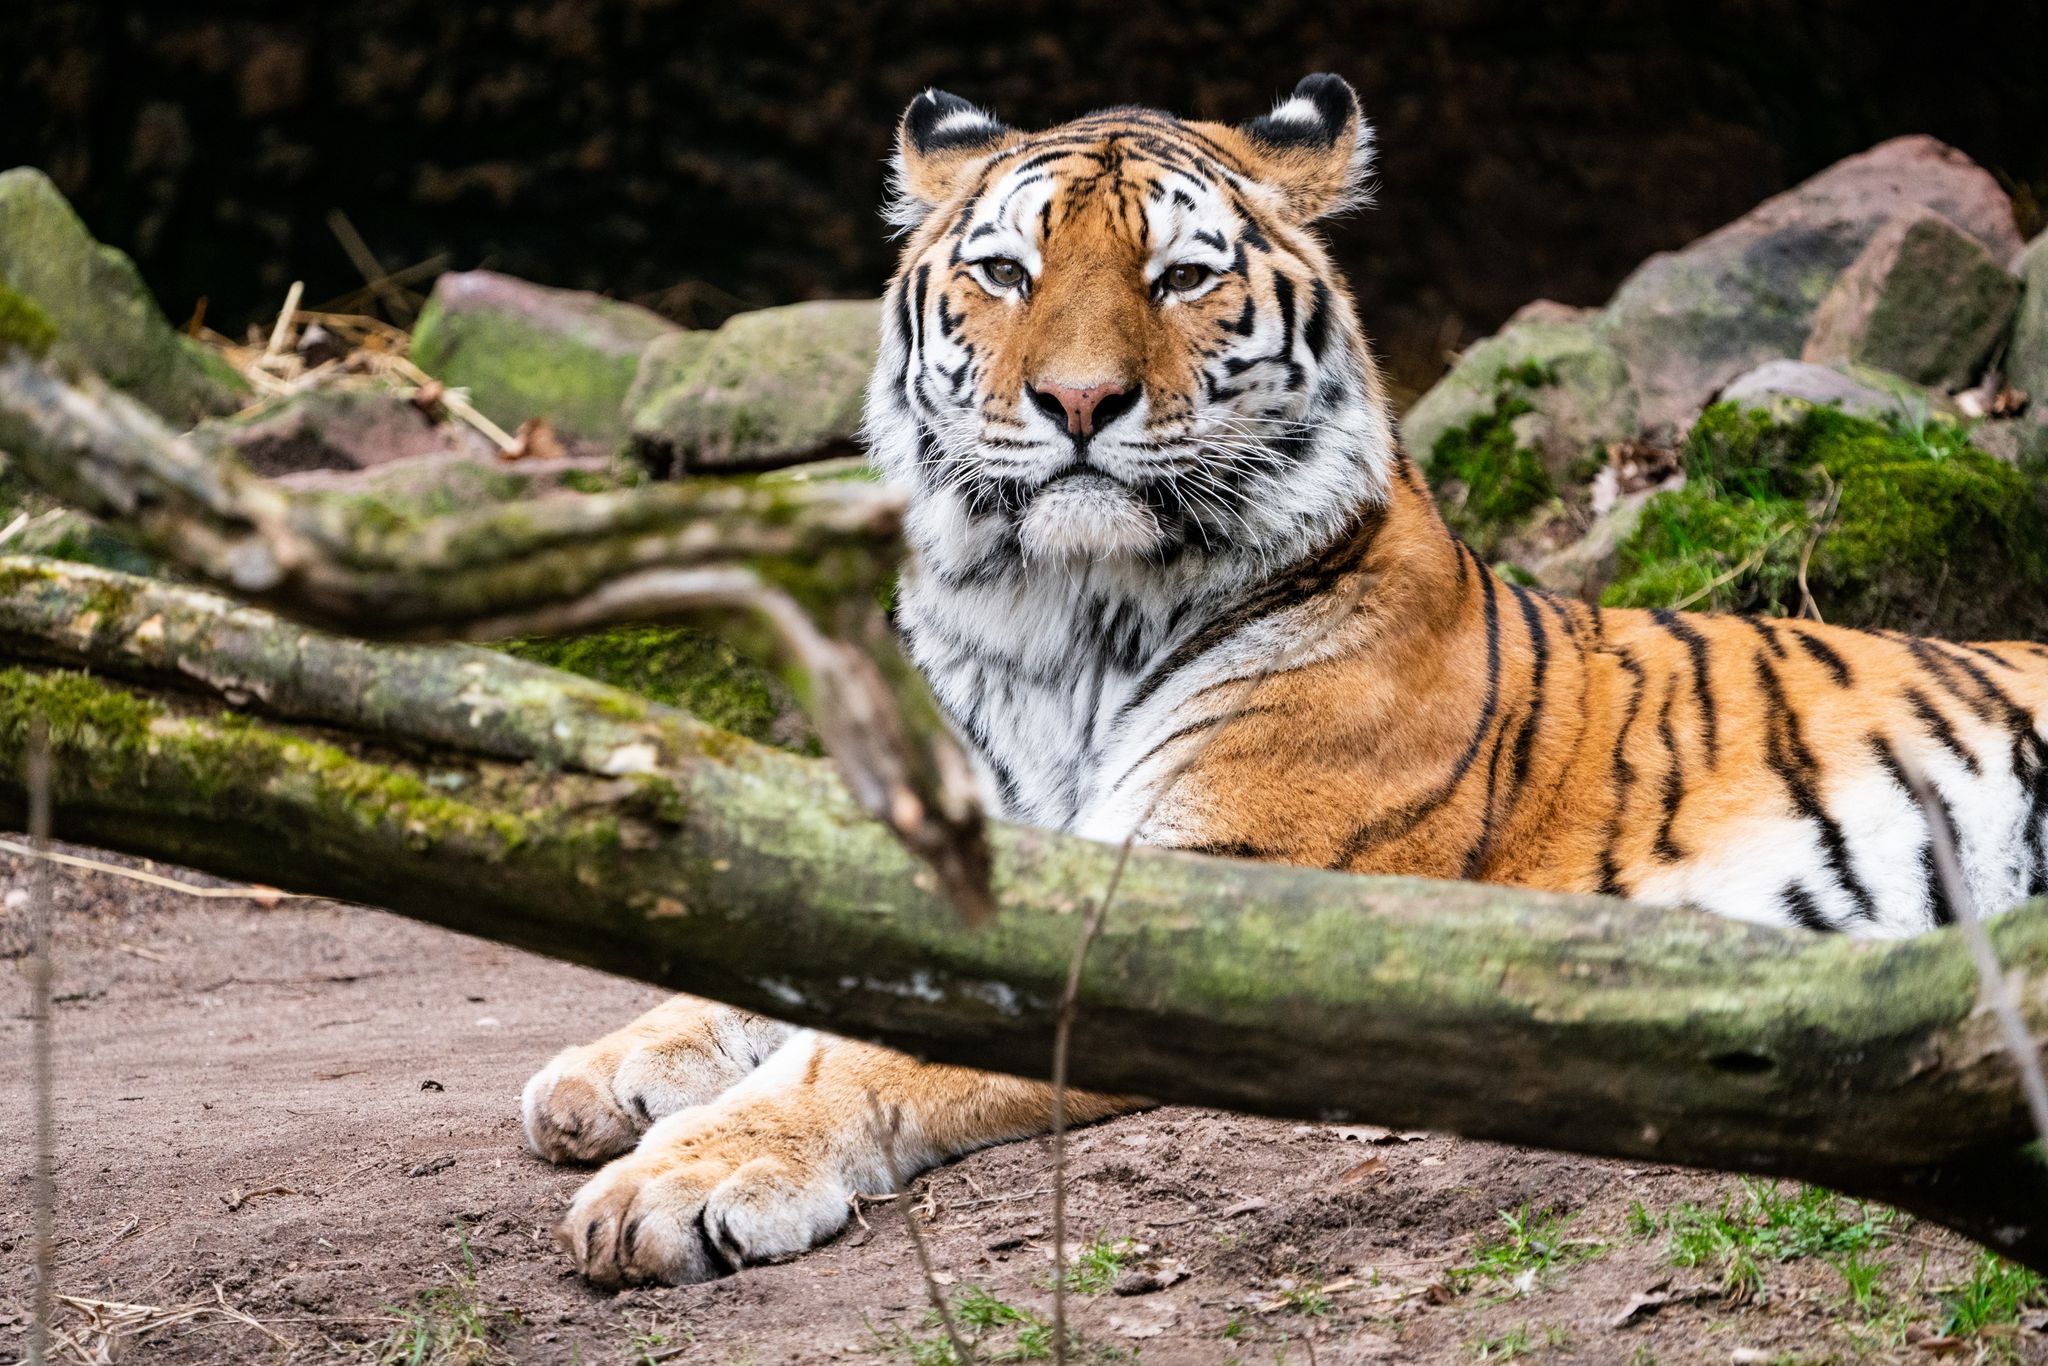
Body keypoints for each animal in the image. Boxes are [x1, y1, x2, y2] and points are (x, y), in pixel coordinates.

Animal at [521, 74, 2048, 1288]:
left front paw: (680, 1177)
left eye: (1181, 277)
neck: (1053, 623)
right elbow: (758, 974)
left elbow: (851, 1051)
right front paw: (597, 1073)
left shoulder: (1180, 915)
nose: (1078, 403)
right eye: (1007, 274)